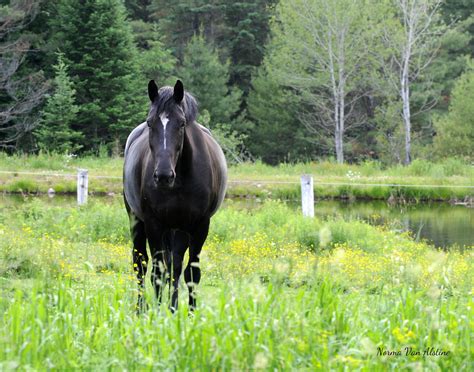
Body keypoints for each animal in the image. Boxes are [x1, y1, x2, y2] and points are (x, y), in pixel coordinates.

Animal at [124, 80, 228, 310]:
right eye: (150, 123)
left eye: (181, 124)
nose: (163, 175)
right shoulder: (153, 224)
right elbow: (156, 272)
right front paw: (157, 312)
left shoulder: (198, 225)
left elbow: (189, 273)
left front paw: (185, 312)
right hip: (137, 221)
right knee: (141, 264)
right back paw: (141, 309)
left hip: (176, 229)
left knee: (174, 266)